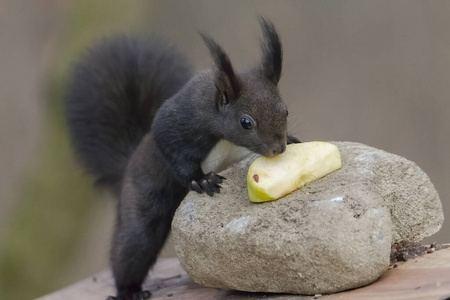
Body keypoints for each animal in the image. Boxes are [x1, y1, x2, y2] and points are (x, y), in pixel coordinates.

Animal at [64, 17, 298, 298]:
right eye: (246, 122)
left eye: (285, 111)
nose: (278, 149)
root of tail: (127, 166)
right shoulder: (176, 125)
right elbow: (176, 154)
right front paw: (201, 180)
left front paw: (294, 139)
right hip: (143, 205)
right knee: (131, 246)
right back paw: (129, 289)